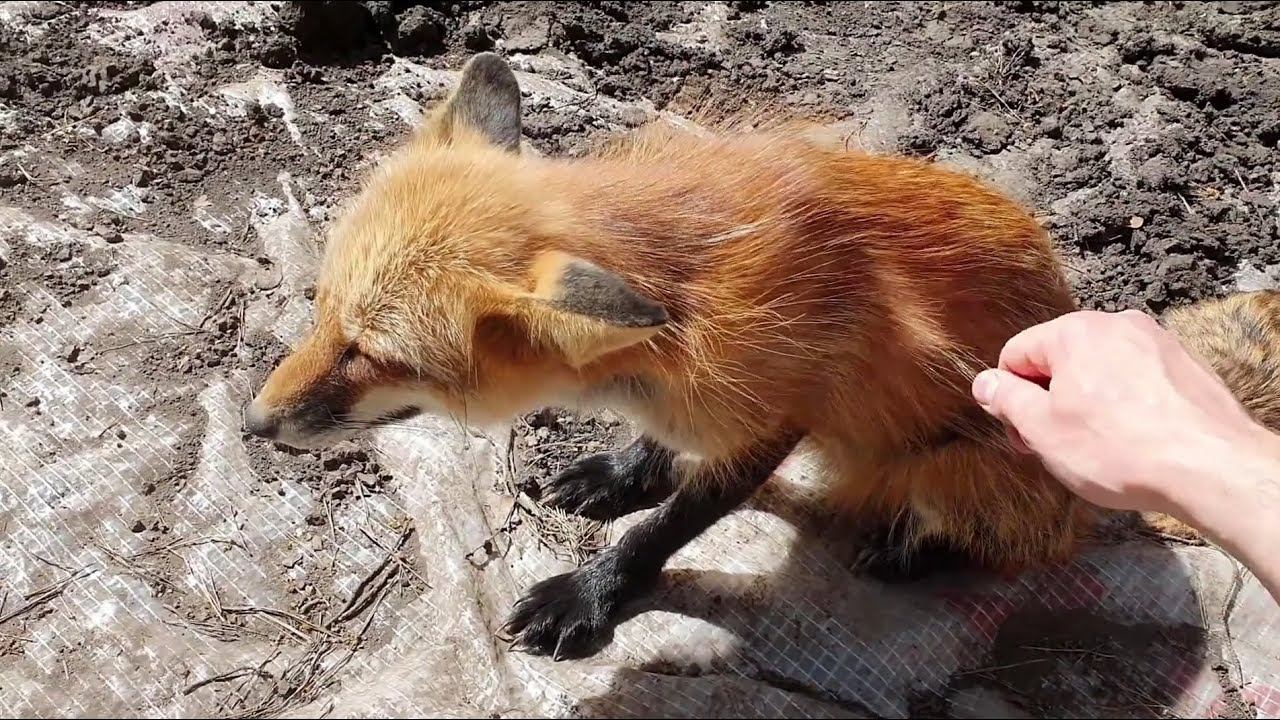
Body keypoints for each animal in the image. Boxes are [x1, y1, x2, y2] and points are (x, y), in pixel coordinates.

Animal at [244, 52, 1280, 660]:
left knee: (995, 532)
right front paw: (619, 472)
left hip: (964, 471)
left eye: (373, 354)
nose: (253, 424)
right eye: (321, 312)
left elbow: (669, 529)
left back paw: (908, 547)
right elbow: (657, 461)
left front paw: (594, 591)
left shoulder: (778, 414)